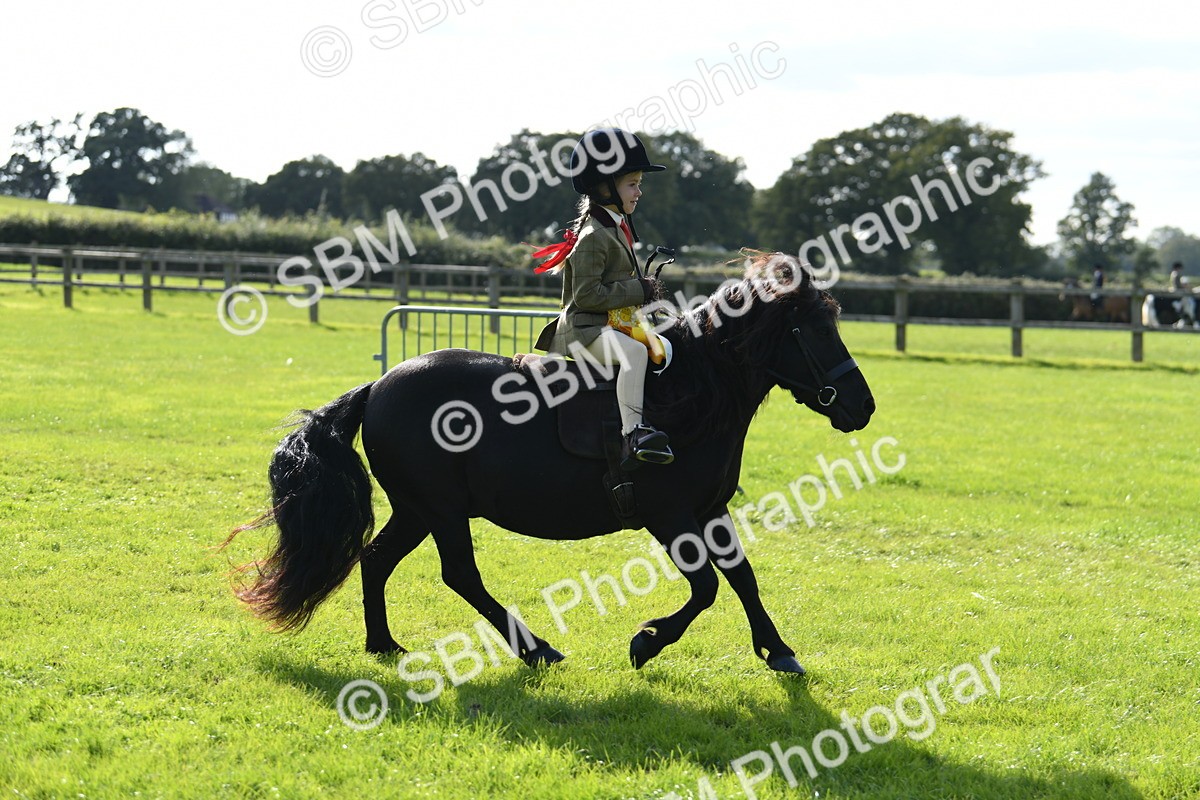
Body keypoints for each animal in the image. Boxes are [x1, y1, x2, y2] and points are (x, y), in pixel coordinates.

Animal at [226, 253, 875, 676]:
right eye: (815, 330)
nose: (863, 407)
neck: (688, 395)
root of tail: (380, 386)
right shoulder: (669, 515)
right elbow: (707, 586)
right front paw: (647, 641)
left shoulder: (710, 510)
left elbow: (742, 577)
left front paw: (778, 650)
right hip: (441, 508)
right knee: (460, 575)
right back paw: (536, 649)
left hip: (416, 509)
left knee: (377, 560)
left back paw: (384, 646)